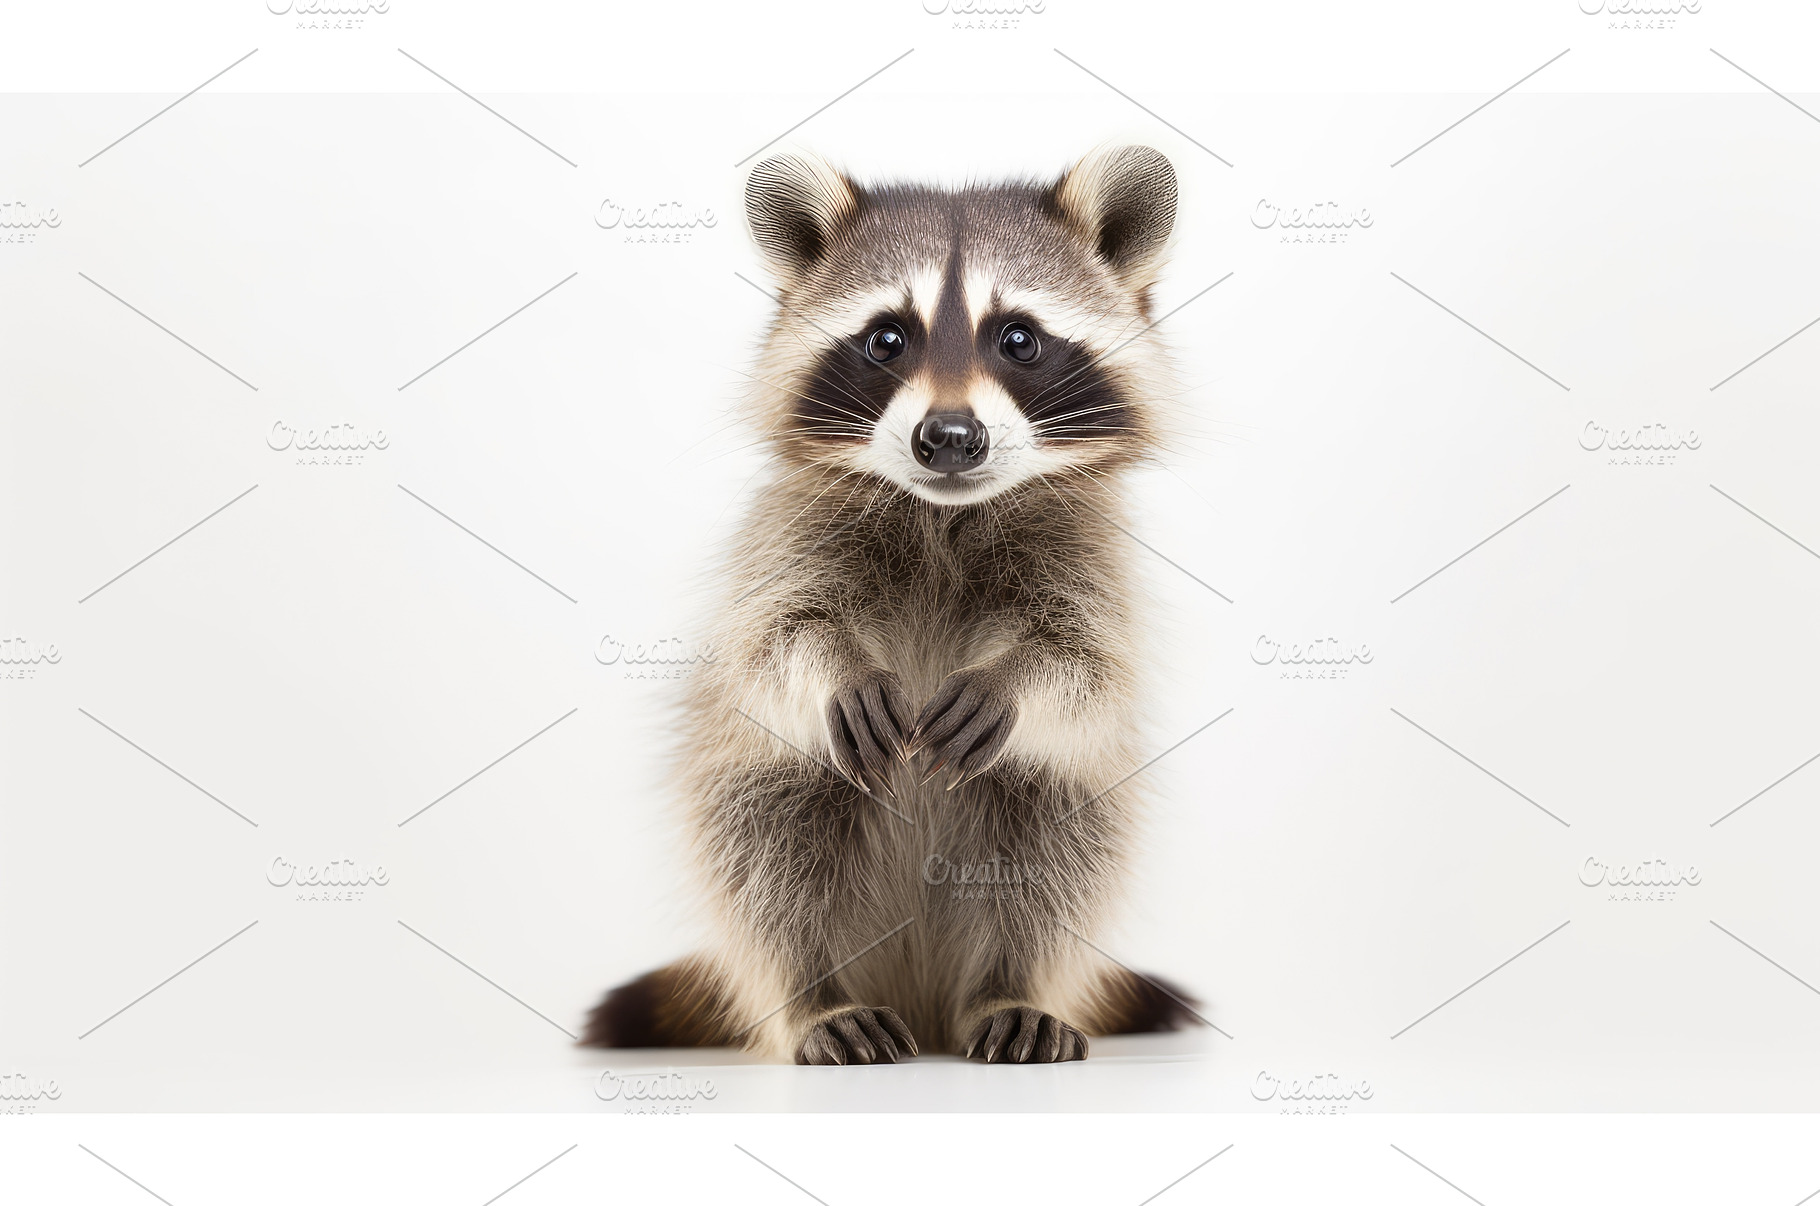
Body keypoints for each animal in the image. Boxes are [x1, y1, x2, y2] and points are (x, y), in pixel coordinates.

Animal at [583, 145, 1199, 1063]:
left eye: (1018, 338)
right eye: (886, 339)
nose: (949, 438)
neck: (944, 514)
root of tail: (919, 991)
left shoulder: (1094, 556)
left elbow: (1087, 668)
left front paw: (1017, 677)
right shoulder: (783, 537)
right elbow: (772, 644)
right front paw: (834, 664)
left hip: (1051, 812)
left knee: (1055, 847)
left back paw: (1007, 986)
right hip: (758, 789)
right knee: (767, 856)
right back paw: (814, 996)